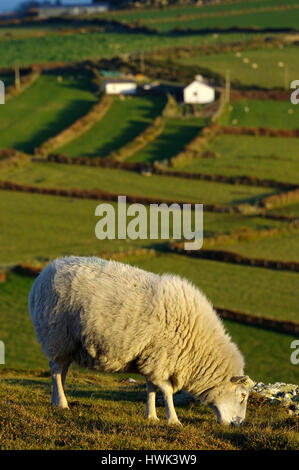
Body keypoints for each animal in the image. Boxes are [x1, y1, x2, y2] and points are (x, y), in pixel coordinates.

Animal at [28, 258, 251, 426]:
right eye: (242, 396)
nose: (239, 424)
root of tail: (44, 273)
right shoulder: (161, 358)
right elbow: (167, 391)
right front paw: (173, 420)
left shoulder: (153, 359)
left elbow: (151, 388)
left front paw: (151, 416)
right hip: (57, 335)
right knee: (56, 369)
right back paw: (61, 403)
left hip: (68, 343)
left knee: (61, 371)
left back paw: (56, 399)